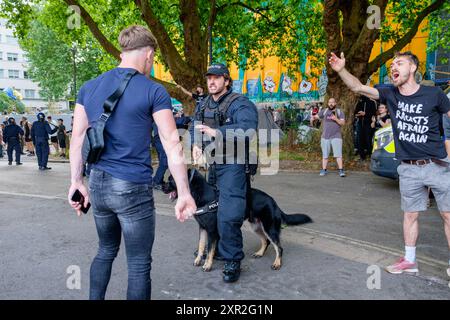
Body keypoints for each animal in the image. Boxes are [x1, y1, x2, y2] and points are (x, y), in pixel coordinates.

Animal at [166, 169, 312, 272]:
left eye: (171, 180)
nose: (160, 186)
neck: (203, 195)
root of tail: (273, 202)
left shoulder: (212, 231)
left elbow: (210, 250)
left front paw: (207, 265)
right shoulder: (202, 228)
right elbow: (202, 245)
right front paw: (198, 260)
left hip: (269, 228)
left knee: (279, 247)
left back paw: (277, 263)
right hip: (256, 226)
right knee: (266, 241)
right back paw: (259, 253)